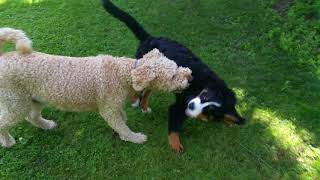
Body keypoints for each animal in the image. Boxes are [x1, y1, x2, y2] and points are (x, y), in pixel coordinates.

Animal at [102, 0, 245, 153]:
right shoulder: (180, 105)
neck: (204, 85)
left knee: (147, 92)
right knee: (139, 87)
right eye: (205, 96)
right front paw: (176, 145)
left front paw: (225, 120)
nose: (191, 105)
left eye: (210, 109)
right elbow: (175, 126)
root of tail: (150, 38)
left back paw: (144, 106)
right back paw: (136, 101)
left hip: (157, 79)